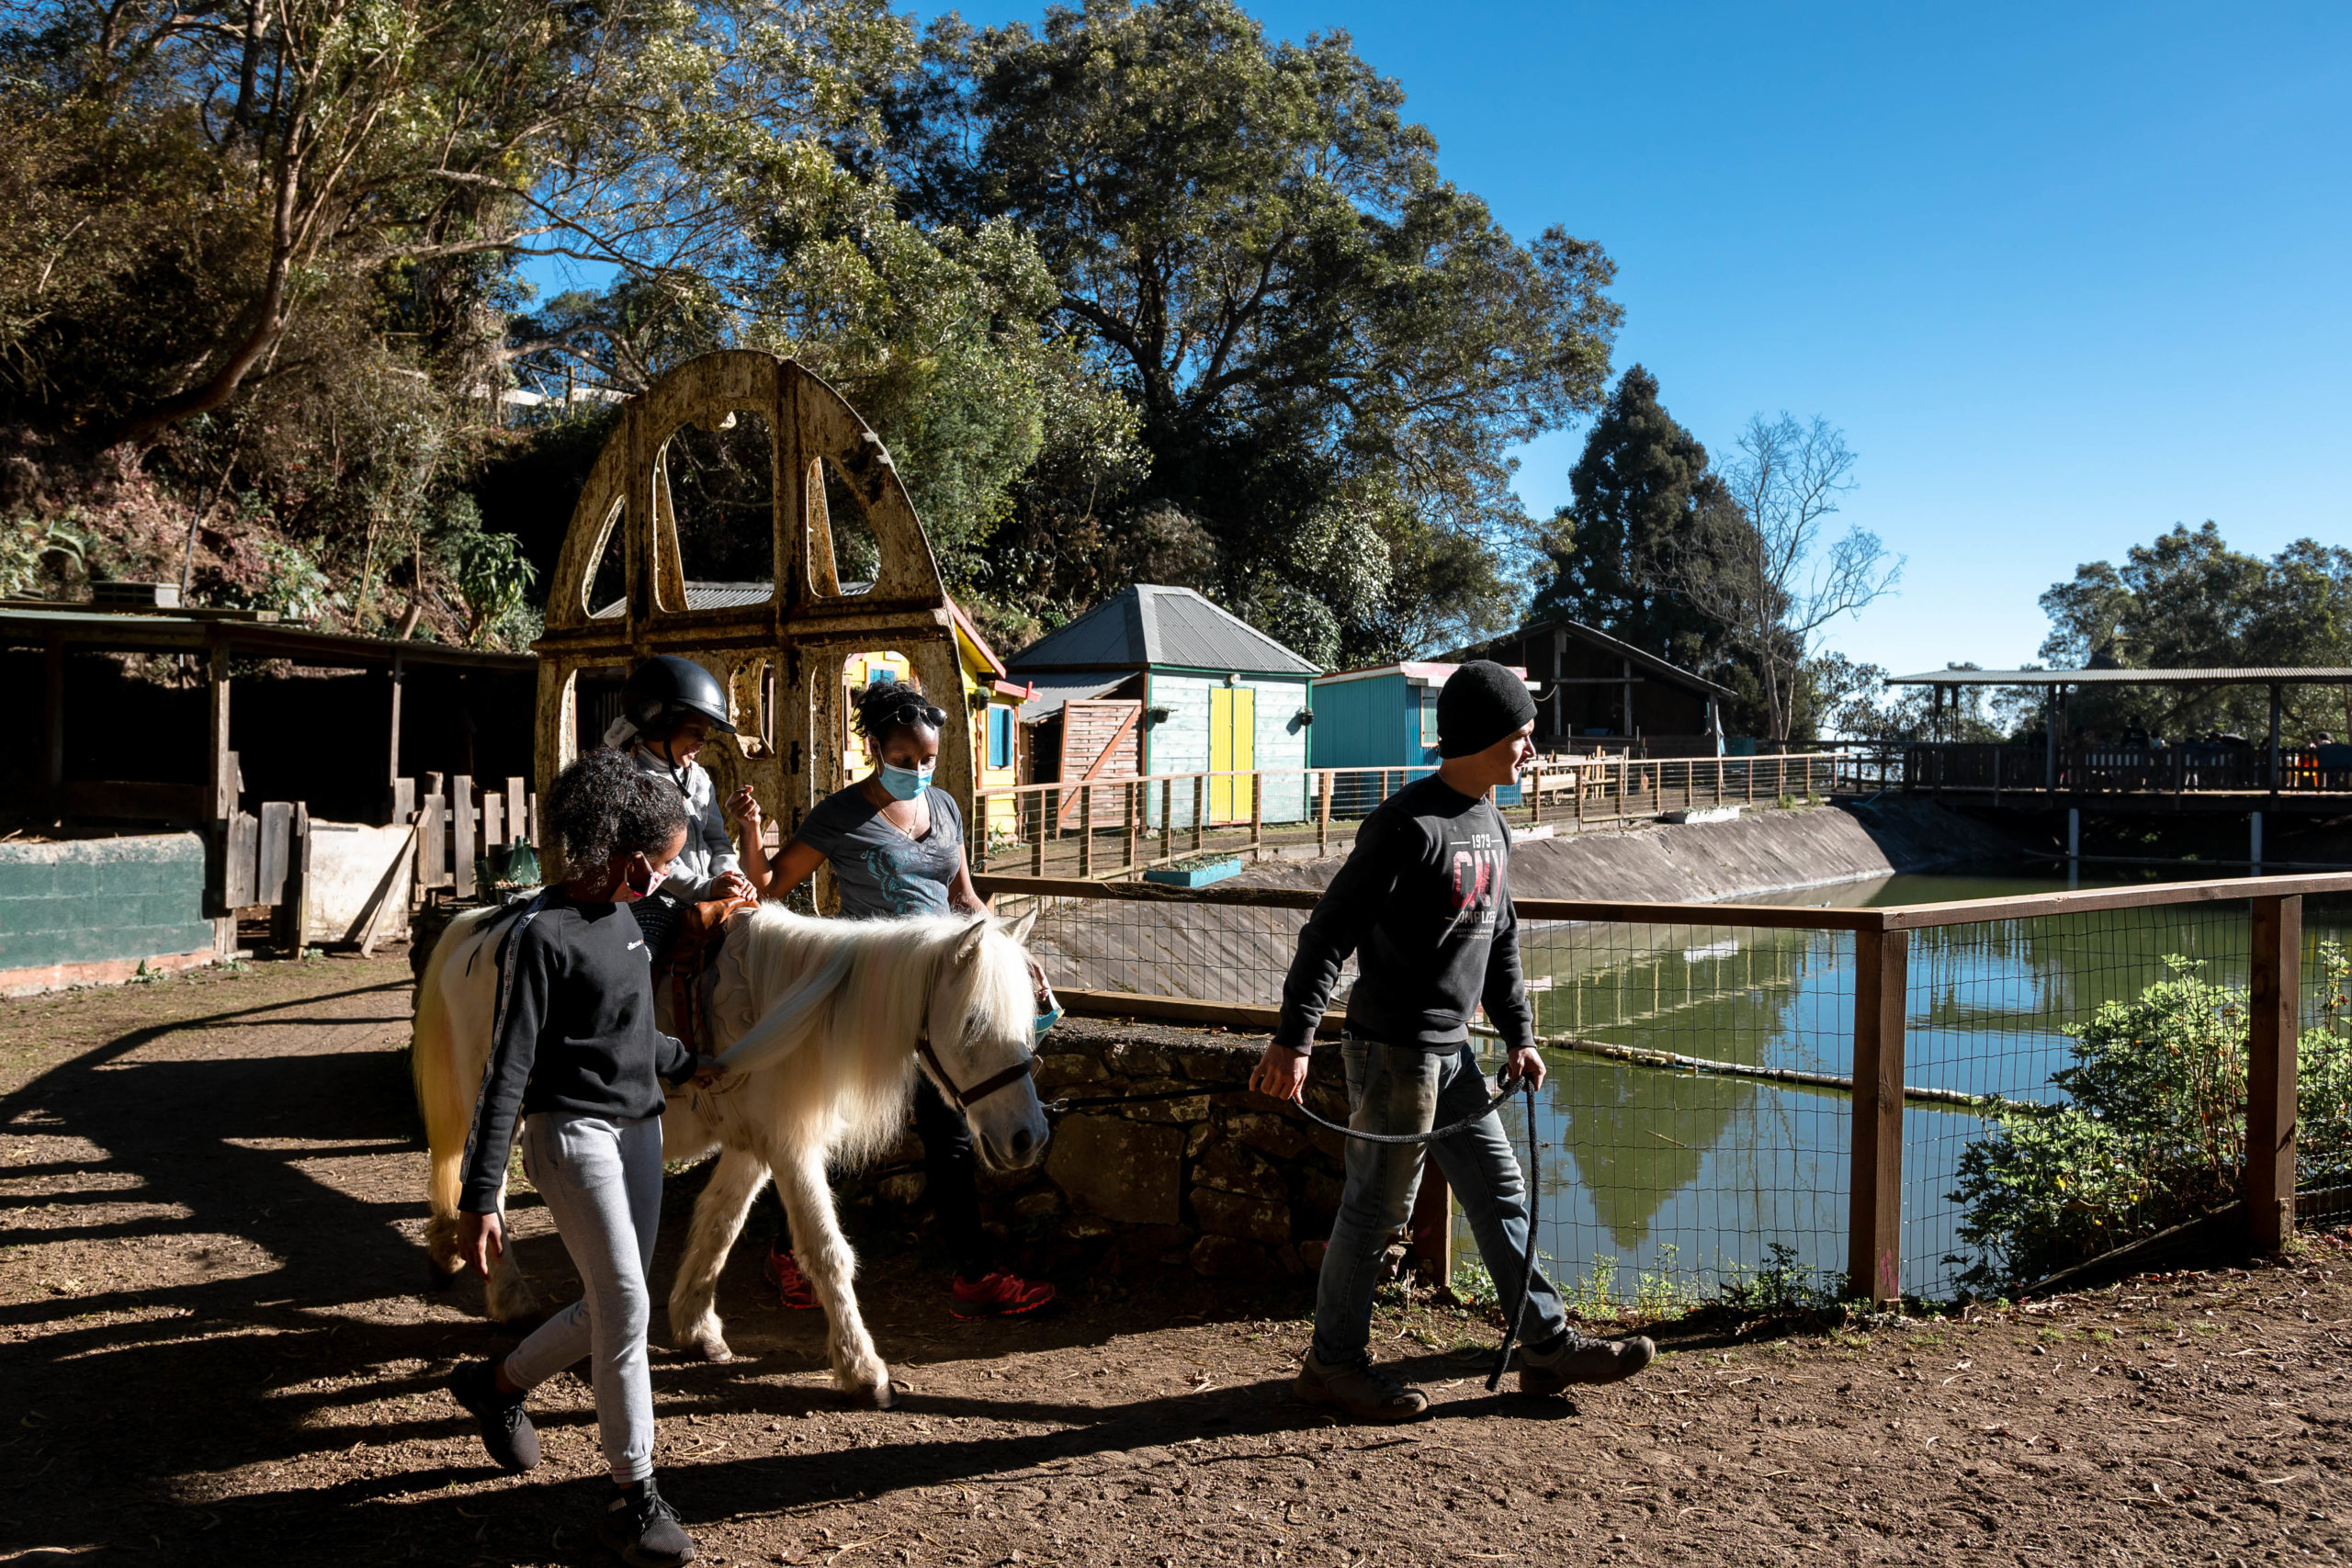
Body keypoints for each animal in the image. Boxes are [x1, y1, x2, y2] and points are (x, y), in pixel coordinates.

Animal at [413, 893, 1048, 1410]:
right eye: (972, 1023)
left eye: (1028, 1020)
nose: (1029, 1138)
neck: (796, 1015)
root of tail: (479, 923)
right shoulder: (793, 1151)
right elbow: (826, 1252)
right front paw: (863, 1370)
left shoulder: (755, 1148)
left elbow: (720, 1224)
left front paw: (694, 1325)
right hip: (498, 1103)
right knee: (486, 1191)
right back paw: (510, 1299)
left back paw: (450, 1254)